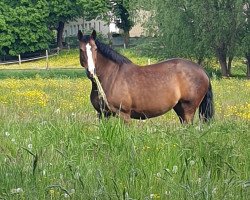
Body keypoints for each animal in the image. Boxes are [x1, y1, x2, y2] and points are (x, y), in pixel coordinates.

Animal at [77, 30, 214, 123]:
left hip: (188, 109)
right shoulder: (102, 114)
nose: (91, 71)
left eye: (95, 49)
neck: (110, 78)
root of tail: (202, 70)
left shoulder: (124, 115)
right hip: (180, 108)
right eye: (81, 49)